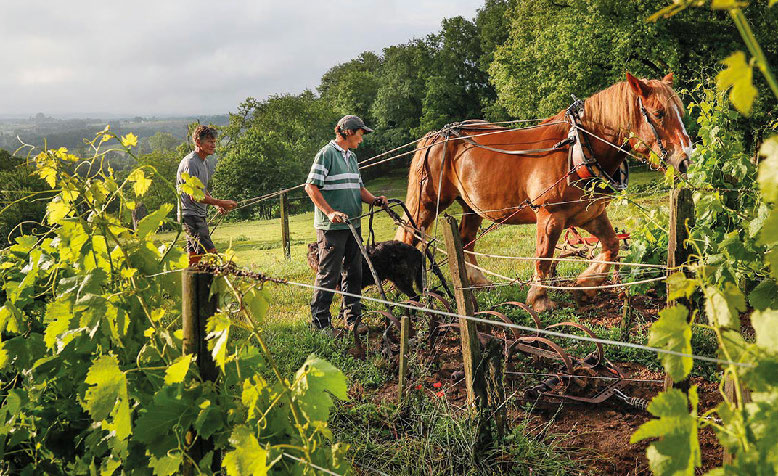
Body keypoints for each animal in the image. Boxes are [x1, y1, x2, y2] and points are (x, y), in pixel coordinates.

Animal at [394, 73, 692, 312]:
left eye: (679, 111)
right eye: (658, 113)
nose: (685, 160)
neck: (578, 148)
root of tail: (437, 135)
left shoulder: (590, 216)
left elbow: (611, 247)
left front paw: (585, 288)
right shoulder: (549, 216)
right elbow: (544, 256)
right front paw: (539, 299)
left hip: (471, 206)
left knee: (465, 241)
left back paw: (476, 283)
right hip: (427, 202)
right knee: (410, 235)